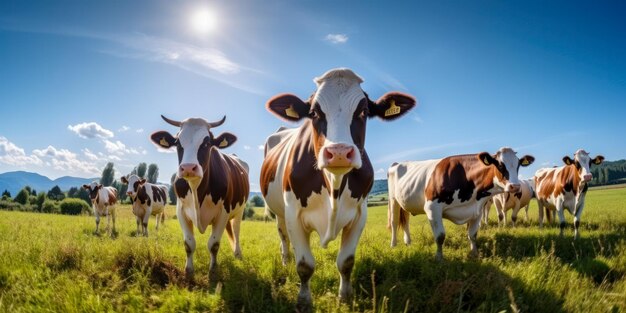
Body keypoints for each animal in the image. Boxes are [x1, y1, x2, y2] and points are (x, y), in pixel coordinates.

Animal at [151, 115, 249, 280]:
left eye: (207, 143)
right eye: (177, 143)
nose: (188, 167)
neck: (197, 190)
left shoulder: (223, 212)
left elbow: (214, 244)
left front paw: (213, 272)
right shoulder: (181, 211)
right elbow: (189, 244)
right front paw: (189, 272)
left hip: (239, 210)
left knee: (236, 231)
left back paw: (238, 254)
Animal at [260, 67, 416, 310]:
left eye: (363, 112)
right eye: (314, 113)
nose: (339, 152)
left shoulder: (360, 214)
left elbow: (346, 262)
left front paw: (345, 297)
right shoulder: (293, 213)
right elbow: (304, 265)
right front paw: (304, 301)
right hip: (279, 212)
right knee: (283, 236)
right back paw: (286, 260)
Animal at [386, 147, 532, 260]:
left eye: (518, 165)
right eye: (500, 165)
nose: (515, 186)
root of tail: (397, 163)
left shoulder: (477, 210)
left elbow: (472, 234)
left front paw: (474, 253)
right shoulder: (432, 208)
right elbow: (440, 236)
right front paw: (439, 258)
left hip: (405, 202)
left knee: (405, 221)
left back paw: (408, 242)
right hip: (393, 200)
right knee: (394, 222)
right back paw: (393, 245)